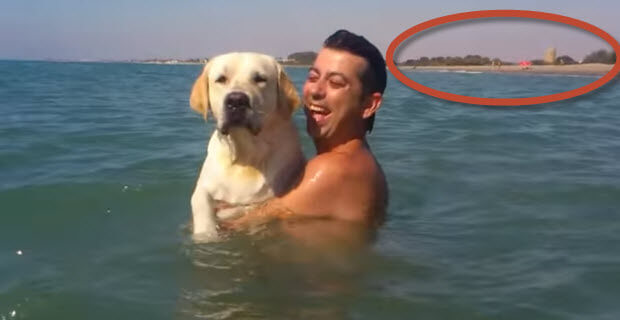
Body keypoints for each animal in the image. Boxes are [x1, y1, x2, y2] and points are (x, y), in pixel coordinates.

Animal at [190, 52, 304, 241]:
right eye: (221, 79)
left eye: (260, 79)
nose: (236, 101)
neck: (244, 156)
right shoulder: (204, 187)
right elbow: (200, 203)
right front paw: (207, 233)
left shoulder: (263, 200)